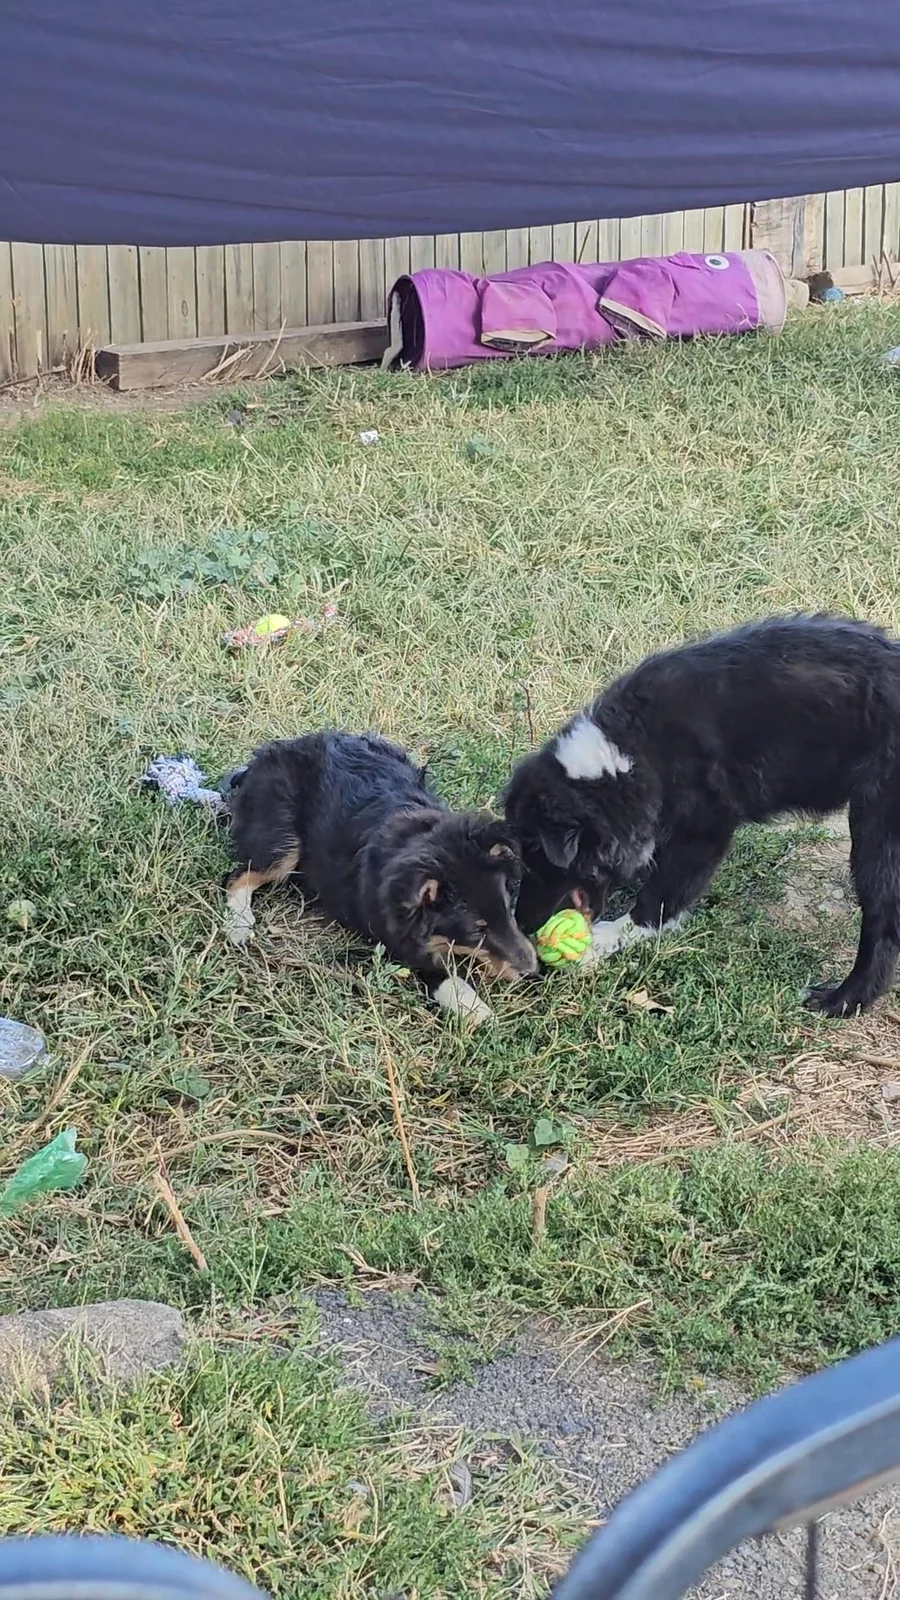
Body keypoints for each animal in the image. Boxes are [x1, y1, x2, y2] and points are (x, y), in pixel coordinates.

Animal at [224, 730, 537, 1022]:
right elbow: (442, 975)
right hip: (283, 843)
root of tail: (258, 761)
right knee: (238, 876)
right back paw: (239, 925)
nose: (534, 972)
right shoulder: (398, 941)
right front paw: (478, 1012)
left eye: (510, 909)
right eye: (476, 931)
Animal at [504, 614, 900, 1017]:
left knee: (883, 923)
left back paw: (844, 1000)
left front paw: (612, 936)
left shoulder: (704, 829)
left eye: (542, 866)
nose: (523, 926)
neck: (632, 751)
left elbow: (662, 894)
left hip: (876, 835)